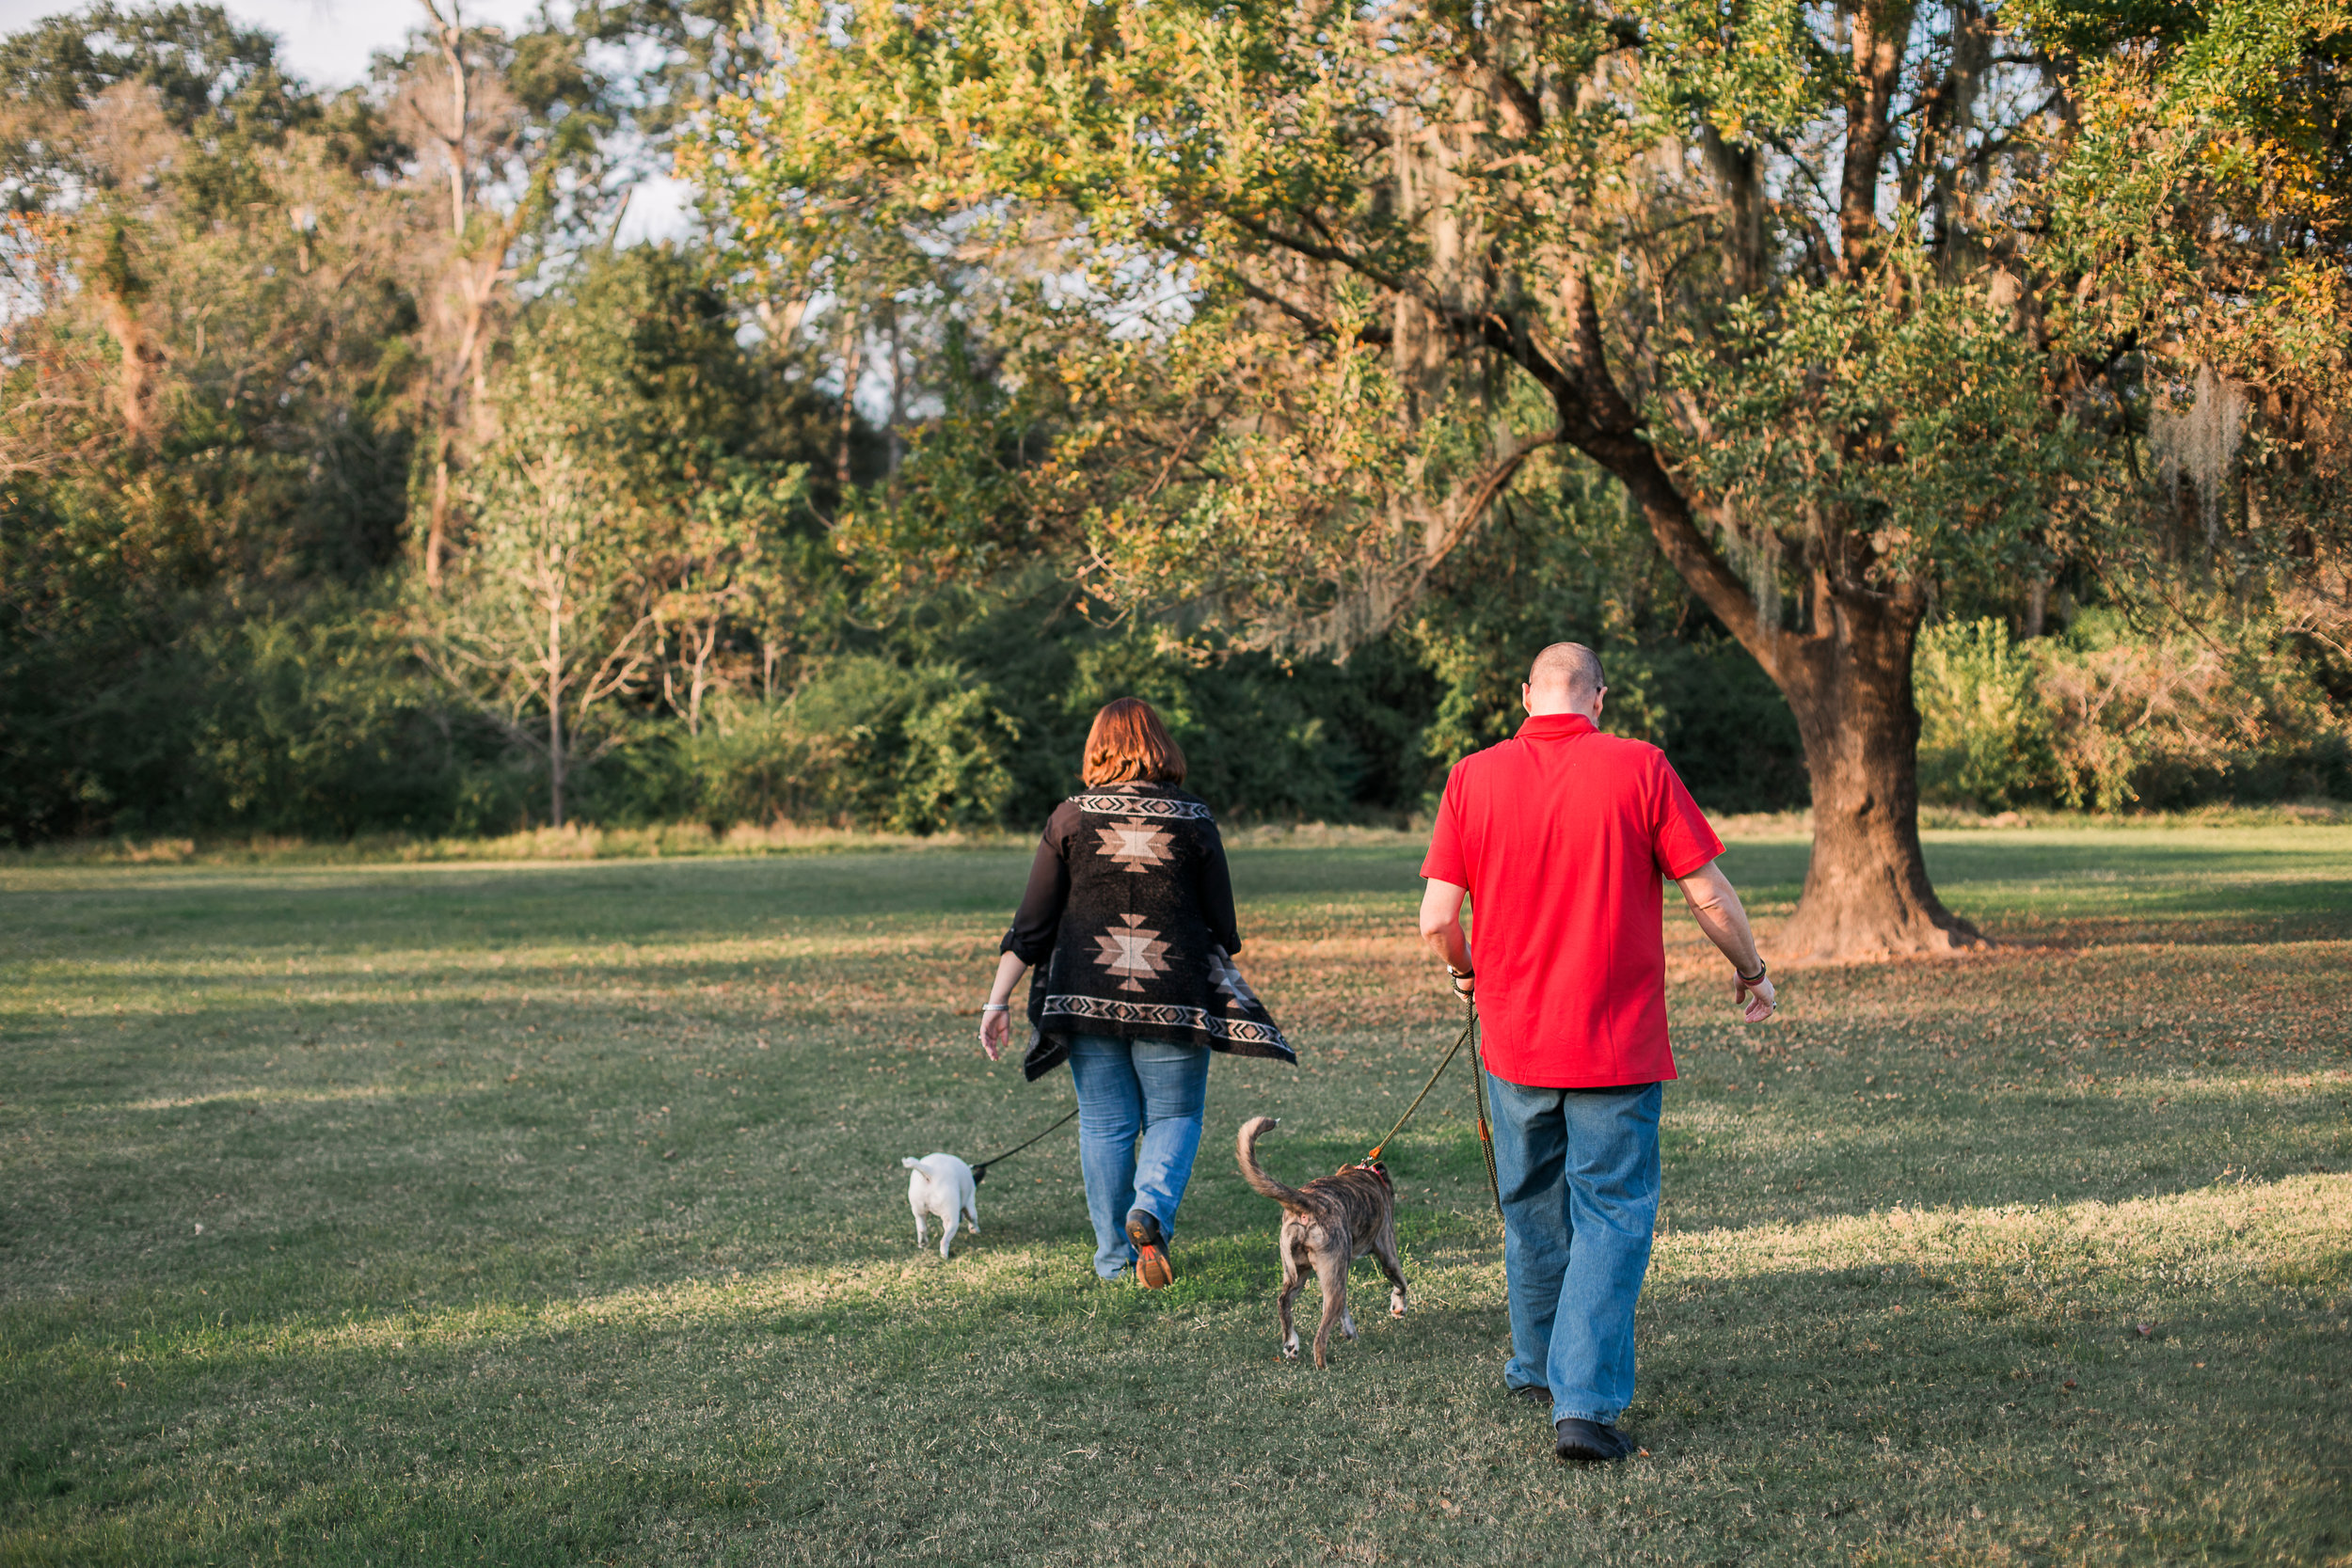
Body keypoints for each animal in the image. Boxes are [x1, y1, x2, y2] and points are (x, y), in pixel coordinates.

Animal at [1242, 1114, 1402, 1363]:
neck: (1364, 1174)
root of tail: (1309, 1203)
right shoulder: (1388, 1250)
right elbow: (1400, 1282)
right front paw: (1398, 1307)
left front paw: (1350, 1331)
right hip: (1331, 1280)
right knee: (1320, 1336)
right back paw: (1323, 1365)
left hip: (1299, 1272)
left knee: (1283, 1301)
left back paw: (1291, 1344)